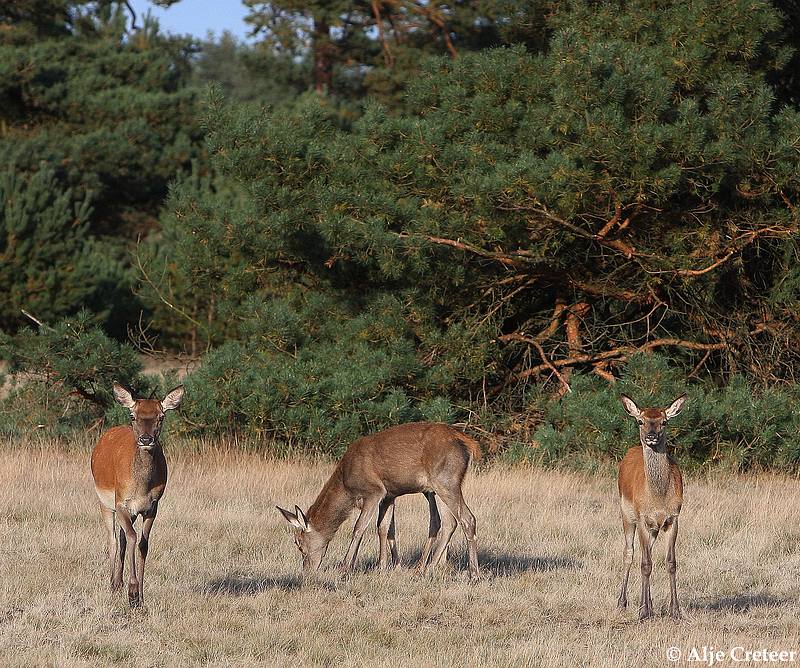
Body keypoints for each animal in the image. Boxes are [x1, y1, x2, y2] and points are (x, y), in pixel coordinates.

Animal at [90, 380, 184, 604]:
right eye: (133, 416)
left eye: (161, 416)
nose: (146, 439)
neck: (141, 487)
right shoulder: (121, 503)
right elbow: (132, 537)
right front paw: (132, 593)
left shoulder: (152, 506)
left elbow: (143, 544)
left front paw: (140, 595)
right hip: (104, 502)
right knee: (113, 539)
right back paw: (112, 585)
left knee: (123, 537)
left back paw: (118, 583)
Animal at [278, 422, 482, 580]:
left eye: (298, 543)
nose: (306, 571)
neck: (346, 484)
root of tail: (468, 443)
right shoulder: (389, 495)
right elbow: (384, 528)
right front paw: (383, 567)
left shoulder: (374, 491)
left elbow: (359, 528)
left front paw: (345, 568)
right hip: (437, 487)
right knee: (449, 522)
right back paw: (426, 569)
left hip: (445, 480)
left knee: (467, 518)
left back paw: (472, 573)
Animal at [620, 392, 688, 620]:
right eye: (640, 421)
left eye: (664, 421)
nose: (651, 436)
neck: (658, 498)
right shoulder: (642, 517)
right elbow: (645, 564)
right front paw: (643, 611)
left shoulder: (672, 518)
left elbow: (671, 563)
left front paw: (675, 610)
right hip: (626, 514)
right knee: (630, 553)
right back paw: (622, 602)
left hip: (654, 528)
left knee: (645, 551)